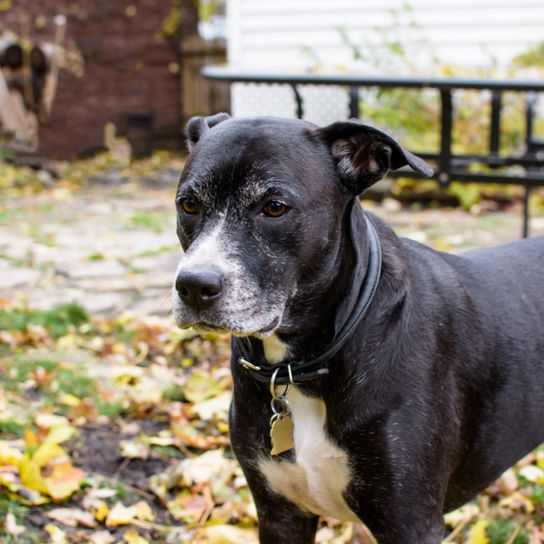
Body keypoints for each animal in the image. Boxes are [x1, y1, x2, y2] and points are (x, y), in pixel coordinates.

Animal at [173, 112, 544, 540]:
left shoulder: (412, 522)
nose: (194, 286)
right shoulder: (280, 513)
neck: (300, 368)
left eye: (275, 207)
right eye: (189, 203)